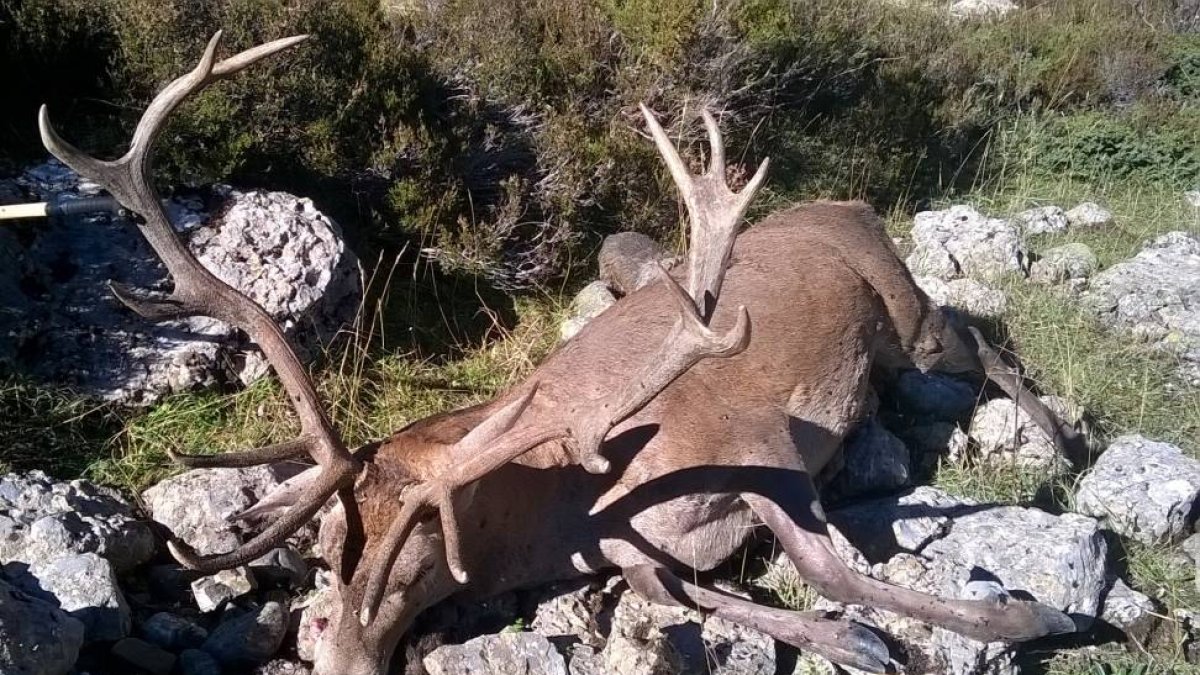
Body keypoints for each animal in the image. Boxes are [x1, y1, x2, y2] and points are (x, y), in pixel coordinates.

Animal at [38, 33, 1084, 675]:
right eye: (328, 551)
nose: (342, 657)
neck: (570, 505)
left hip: (903, 314)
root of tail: (852, 202)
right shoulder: (636, 548)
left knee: (976, 338)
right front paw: (854, 639)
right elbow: (692, 594)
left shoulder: (757, 438)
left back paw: (1064, 449)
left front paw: (1026, 617)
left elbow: (829, 566)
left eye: (418, 558)